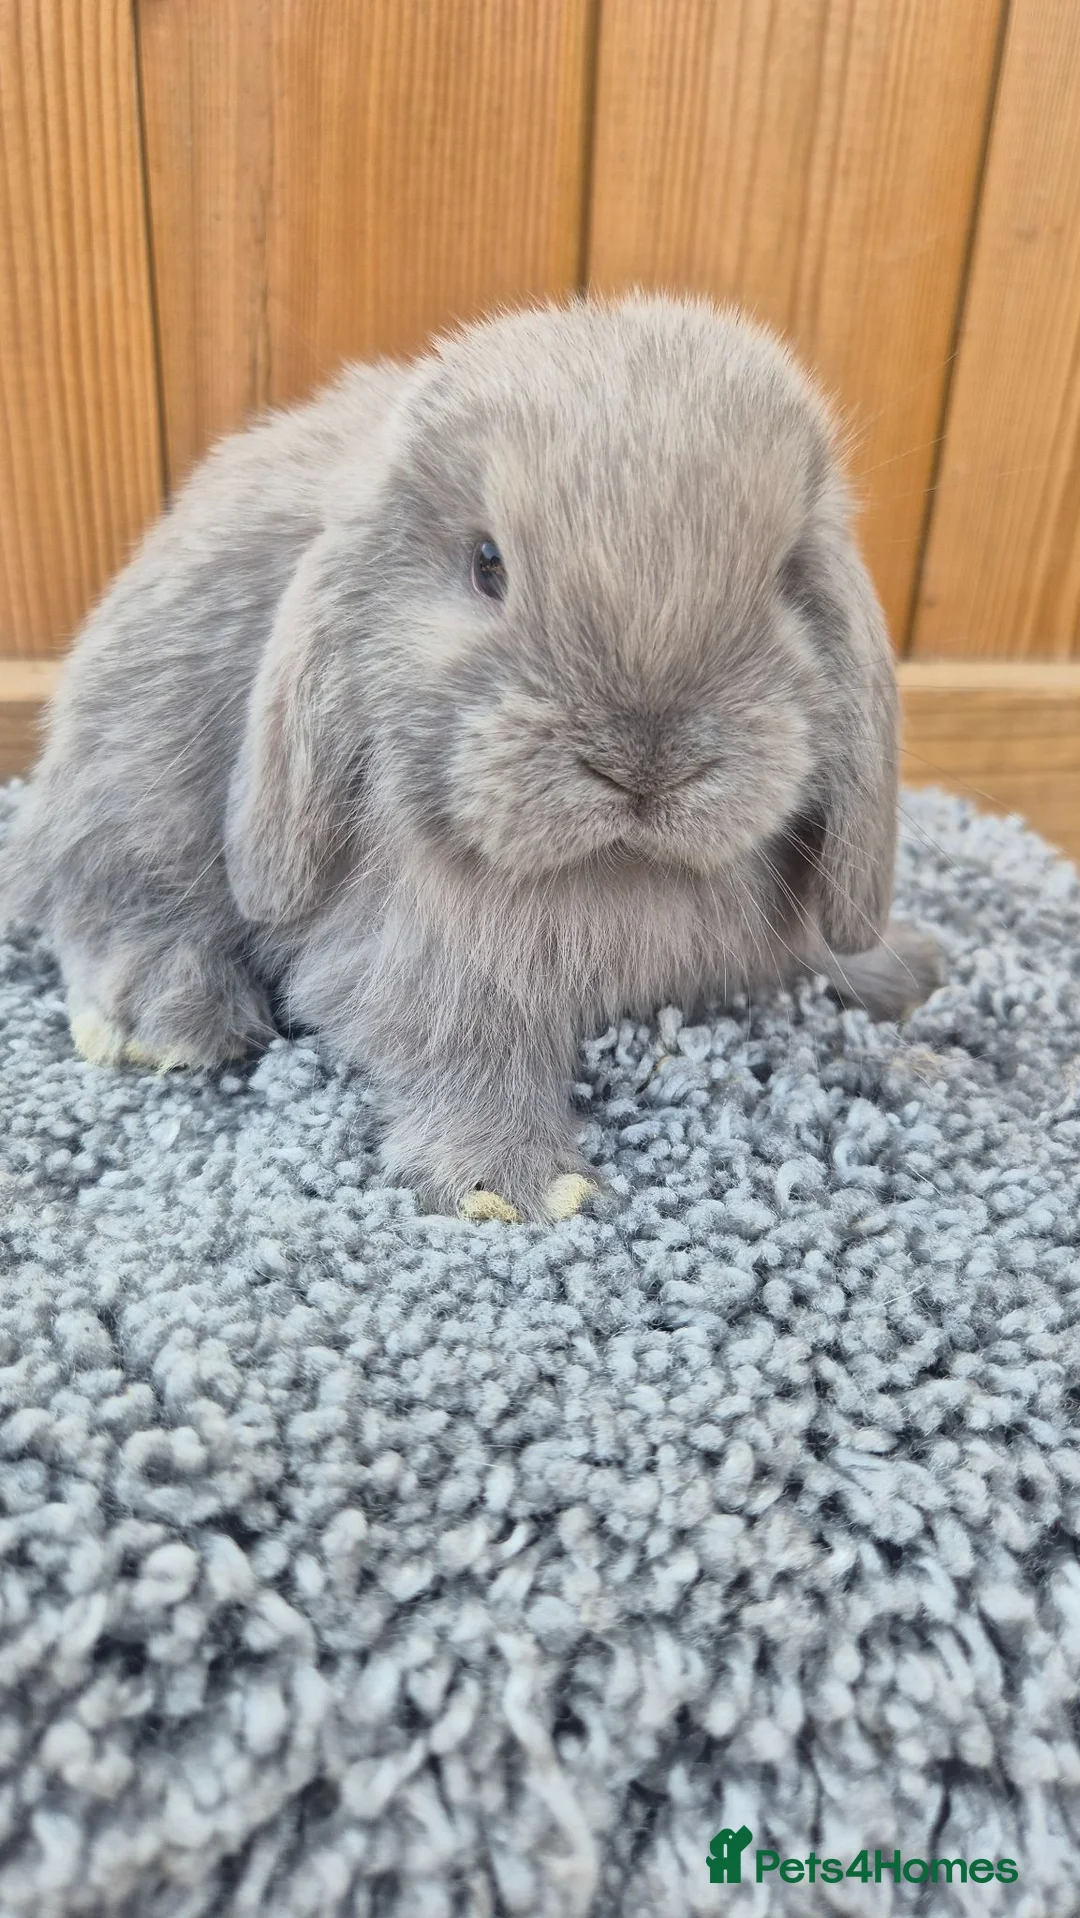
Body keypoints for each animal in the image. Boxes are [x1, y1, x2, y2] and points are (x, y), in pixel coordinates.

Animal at [2, 293, 941, 1222]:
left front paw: (902, 967)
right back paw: (168, 1022)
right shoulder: (425, 957)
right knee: (108, 905)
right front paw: (512, 1184)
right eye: (488, 565)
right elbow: (465, 1040)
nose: (644, 765)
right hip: (132, 796)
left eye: (786, 578)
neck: (619, 869)